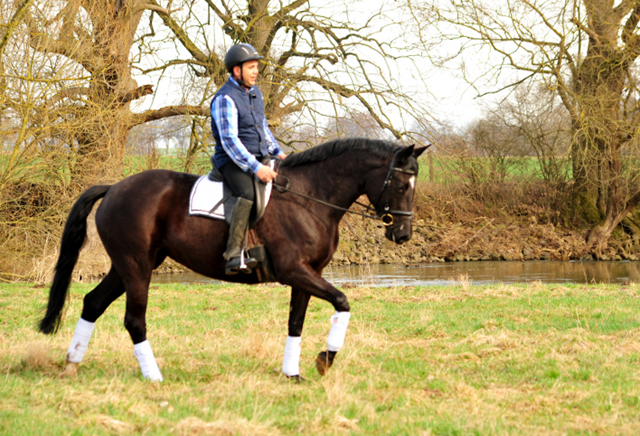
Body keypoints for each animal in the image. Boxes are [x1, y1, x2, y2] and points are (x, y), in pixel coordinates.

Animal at [42, 138, 428, 380]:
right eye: (400, 185)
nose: (403, 235)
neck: (311, 197)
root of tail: (114, 187)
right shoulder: (296, 271)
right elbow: (343, 302)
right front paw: (324, 360)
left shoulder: (307, 274)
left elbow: (296, 323)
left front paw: (293, 373)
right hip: (136, 267)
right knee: (134, 320)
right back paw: (154, 377)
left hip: (130, 265)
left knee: (93, 303)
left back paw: (71, 364)